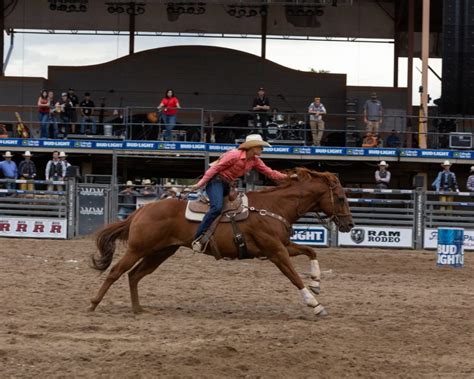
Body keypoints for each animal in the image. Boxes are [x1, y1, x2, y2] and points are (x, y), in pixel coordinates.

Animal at [90, 168, 354, 318]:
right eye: (341, 198)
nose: (350, 225)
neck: (273, 207)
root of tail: (141, 211)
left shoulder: (283, 245)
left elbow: (310, 251)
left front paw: (317, 283)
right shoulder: (276, 251)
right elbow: (294, 277)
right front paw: (314, 303)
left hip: (161, 252)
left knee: (134, 275)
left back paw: (138, 309)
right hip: (138, 249)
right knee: (115, 272)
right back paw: (93, 304)